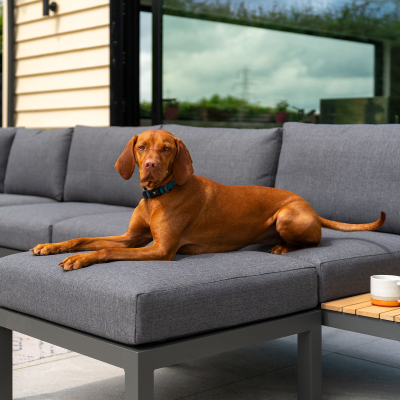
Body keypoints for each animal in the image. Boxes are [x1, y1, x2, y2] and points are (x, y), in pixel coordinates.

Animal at [29, 130, 386, 270]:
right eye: (141, 147)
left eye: (166, 148)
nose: (151, 166)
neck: (157, 195)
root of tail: (309, 204)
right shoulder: (133, 238)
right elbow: (83, 238)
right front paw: (52, 246)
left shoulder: (160, 250)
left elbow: (104, 250)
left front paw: (79, 260)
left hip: (287, 216)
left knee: (312, 242)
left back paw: (283, 247)